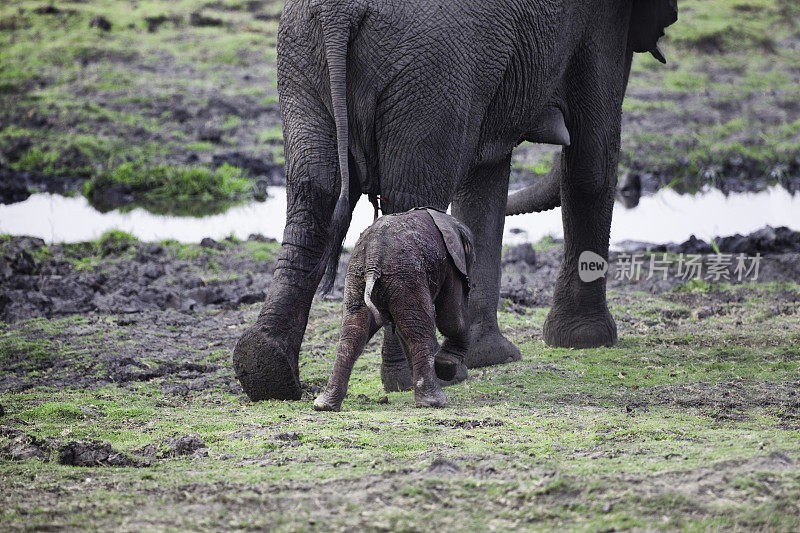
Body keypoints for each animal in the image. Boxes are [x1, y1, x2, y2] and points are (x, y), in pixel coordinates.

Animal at [314, 206, 476, 410]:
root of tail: (373, 261)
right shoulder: (451, 264)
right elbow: (451, 317)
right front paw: (447, 366)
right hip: (406, 277)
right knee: (419, 331)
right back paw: (433, 401)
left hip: (357, 278)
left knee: (353, 332)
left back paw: (324, 405)